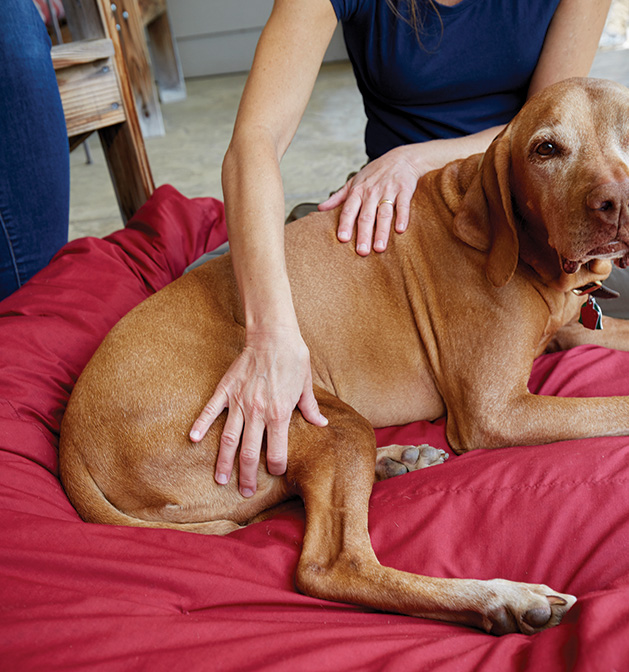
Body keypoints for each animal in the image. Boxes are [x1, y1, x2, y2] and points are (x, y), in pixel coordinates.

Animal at [57, 77, 628, 636]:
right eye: (546, 150)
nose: (618, 202)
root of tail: (71, 441)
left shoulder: (567, 333)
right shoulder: (496, 411)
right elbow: (611, 405)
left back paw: (397, 458)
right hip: (301, 413)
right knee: (334, 566)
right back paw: (500, 597)